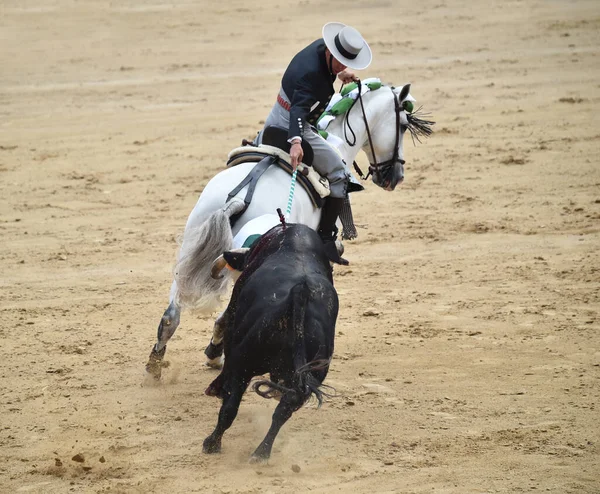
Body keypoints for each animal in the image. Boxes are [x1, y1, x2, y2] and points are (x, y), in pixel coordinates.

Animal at [148, 81, 434, 376]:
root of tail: (236, 199)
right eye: (402, 125)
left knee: (172, 314)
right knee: (225, 314)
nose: (395, 177)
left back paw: (156, 364)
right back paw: (215, 353)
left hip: (189, 250)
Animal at [204, 222, 340, 462]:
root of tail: (300, 293)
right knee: (283, 412)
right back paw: (261, 453)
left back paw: (212, 442)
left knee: (231, 406)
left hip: (244, 361)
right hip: (313, 372)